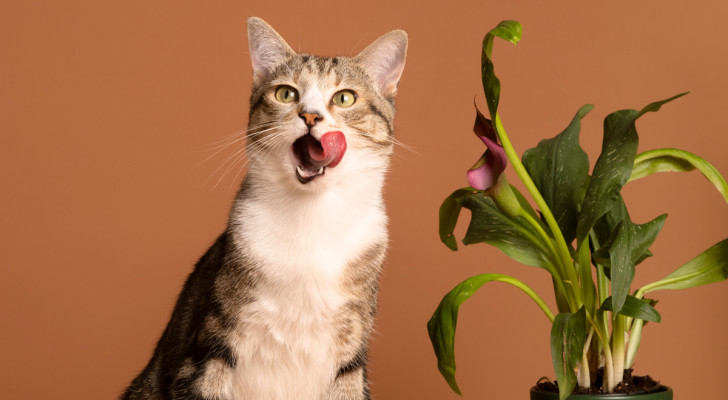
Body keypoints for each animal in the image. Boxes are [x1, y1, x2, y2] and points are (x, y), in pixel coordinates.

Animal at [118, 16, 404, 400]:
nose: (310, 116)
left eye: (345, 98)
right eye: (286, 93)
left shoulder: (351, 356)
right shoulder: (212, 346)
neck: (312, 219)